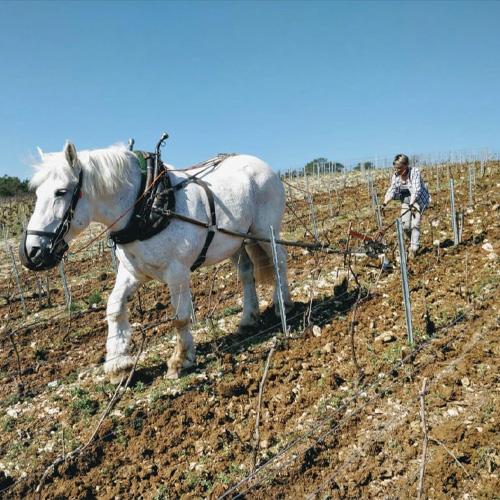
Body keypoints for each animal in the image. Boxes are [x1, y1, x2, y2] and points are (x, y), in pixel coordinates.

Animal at [20, 142, 293, 382]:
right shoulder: (132, 272)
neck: (147, 203)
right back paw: (248, 319)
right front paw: (118, 364)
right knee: (247, 273)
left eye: (61, 192)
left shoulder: (177, 272)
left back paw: (283, 305)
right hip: (236, 241)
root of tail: (262, 164)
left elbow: (180, 316)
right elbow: (114, 307)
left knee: (279, 262)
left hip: (266, 231)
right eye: (37, 193)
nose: (30, 253)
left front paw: (180, 361)